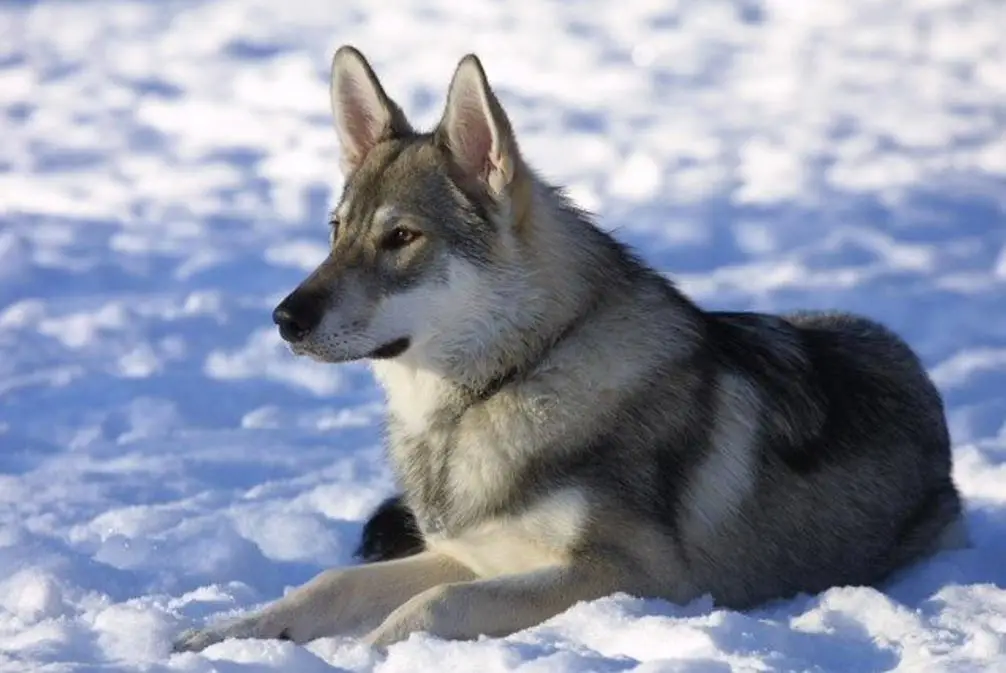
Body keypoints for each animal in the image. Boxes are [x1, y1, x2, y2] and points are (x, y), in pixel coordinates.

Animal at [173, 46, 965, 651]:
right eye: (336, 232)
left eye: (400, 237)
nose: (284, 318)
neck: (500, 386)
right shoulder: (464, 555)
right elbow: (329, 583)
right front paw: (229, 633)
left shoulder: (640, 577)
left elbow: (429, 608)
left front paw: (364, 653)